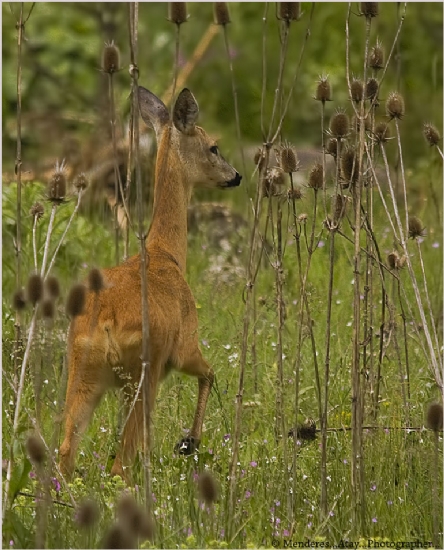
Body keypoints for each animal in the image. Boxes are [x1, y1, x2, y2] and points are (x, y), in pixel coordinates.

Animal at [59, 86, 243, 484]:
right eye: (213, 147)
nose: (236, 176)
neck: (166, 254)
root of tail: (105, 321)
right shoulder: (185, 344)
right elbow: (211, 373)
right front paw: (189, 442)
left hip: (84, 372)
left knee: (65, 452)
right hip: (145, 371)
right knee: (121, 461)